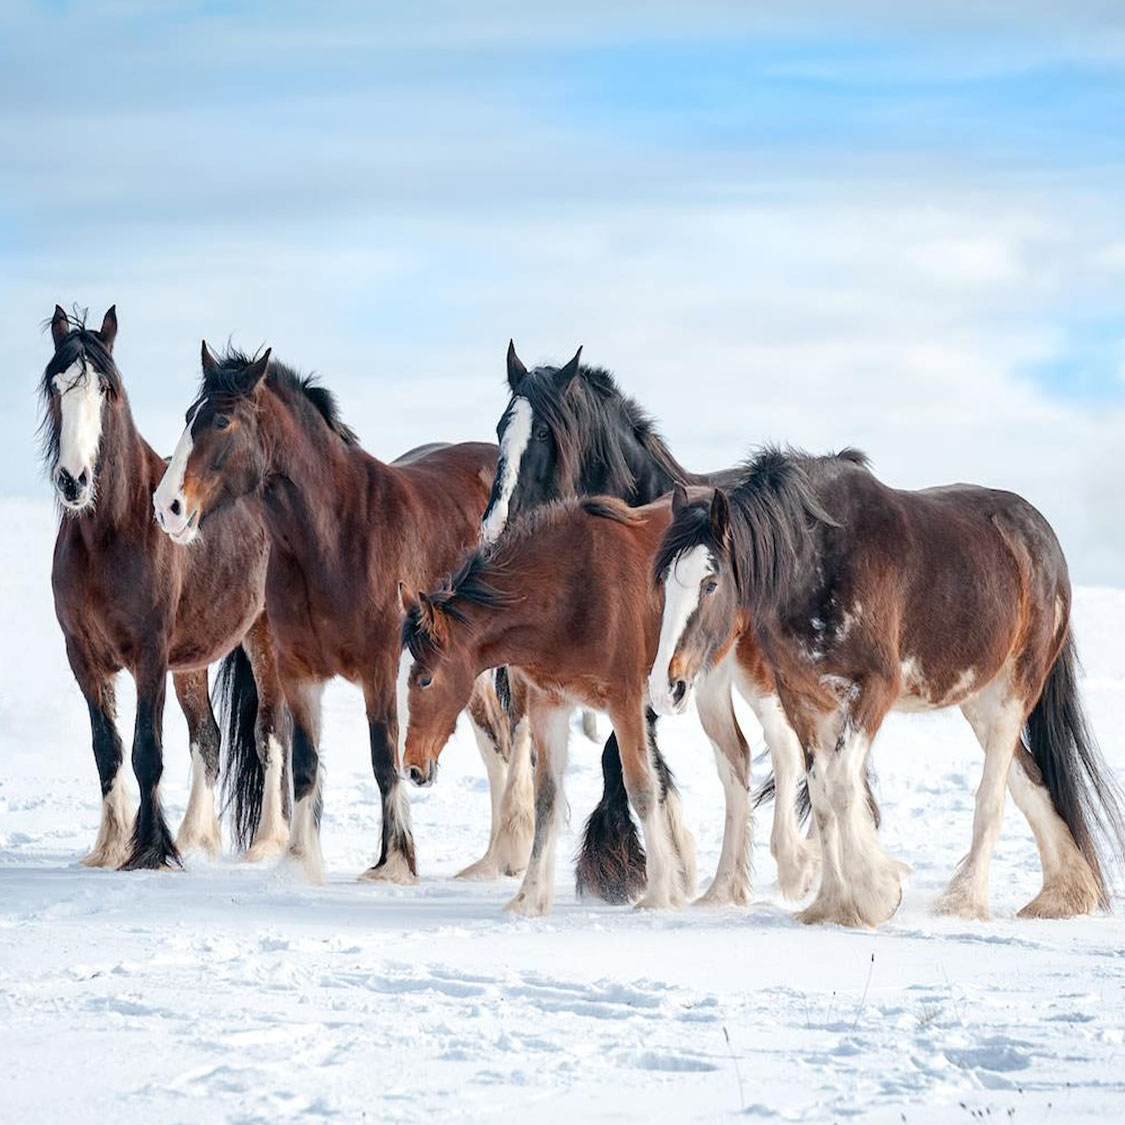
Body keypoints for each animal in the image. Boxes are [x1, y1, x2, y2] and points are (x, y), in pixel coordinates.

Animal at [42, 308, 290, 868]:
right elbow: (107, 749)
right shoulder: (81, 655)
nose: (74, 480)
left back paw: (267, 843)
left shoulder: (150, 655)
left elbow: (146, 751)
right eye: (55, 387)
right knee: (208, 736)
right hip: (192, 663)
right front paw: (110, 847)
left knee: (270, 732)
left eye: (107, 390)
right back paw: (197, 838)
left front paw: (150, 850)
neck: (109, 534)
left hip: (264, 642)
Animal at [151, 337, 513, 882]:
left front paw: (394, 864)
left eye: (221, 421)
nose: (167, 506)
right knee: (499, 749)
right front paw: (299, 861)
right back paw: (496, 861)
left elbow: (384, 759)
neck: (336, 538)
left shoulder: (381, 670)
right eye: (189, 415)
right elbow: (304, 764)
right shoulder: (299, 674)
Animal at [652, 443, 1125, 927]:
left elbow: (842, 787)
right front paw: (832, 903)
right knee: (1030, 780)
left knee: (992, 799)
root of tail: (1042, 537)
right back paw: (1063, 895)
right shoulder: (803, 699)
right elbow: (822, 795)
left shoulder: (873, 691)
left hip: (1016, 690)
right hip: (980, 700)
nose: (666, 687)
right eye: (663, 580)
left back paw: (965, 902)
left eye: (711, 582)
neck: (819, 564)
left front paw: (877, 892)